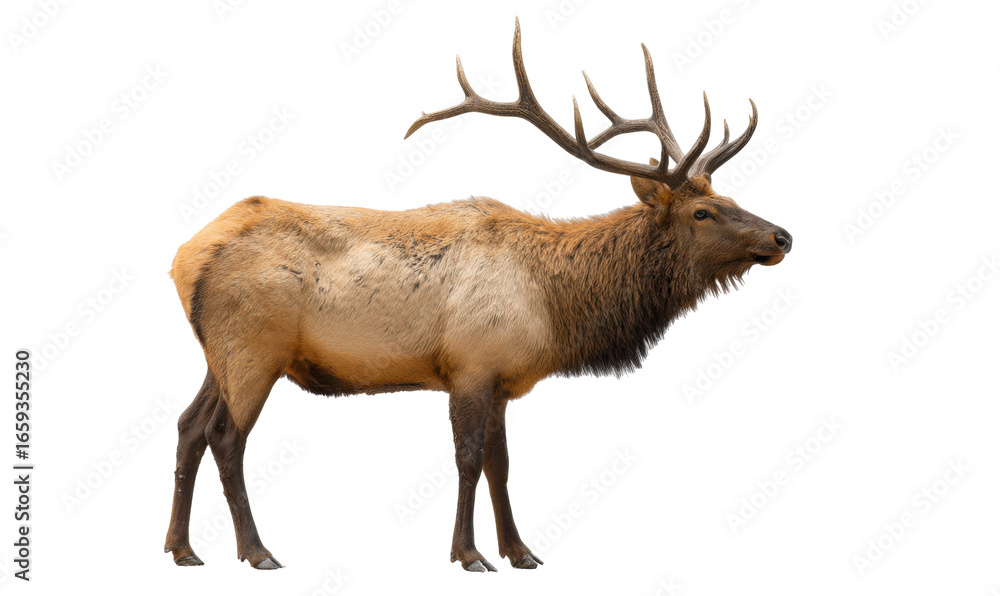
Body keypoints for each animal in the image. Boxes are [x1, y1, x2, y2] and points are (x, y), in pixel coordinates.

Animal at [163, 19, 791, 573]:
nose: (782, 236)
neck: (555, 307)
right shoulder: (470, 364)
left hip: (218, 354)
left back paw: (182, 548)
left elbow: (500, 465)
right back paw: (257, 551)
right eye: (703, 212)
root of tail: (183, 259)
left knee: (188, 426)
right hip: (253, 348)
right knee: (225, 437)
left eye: (731, 198)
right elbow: (468, 462)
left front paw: (521, 551)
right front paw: (469, 555)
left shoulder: (503, 380)